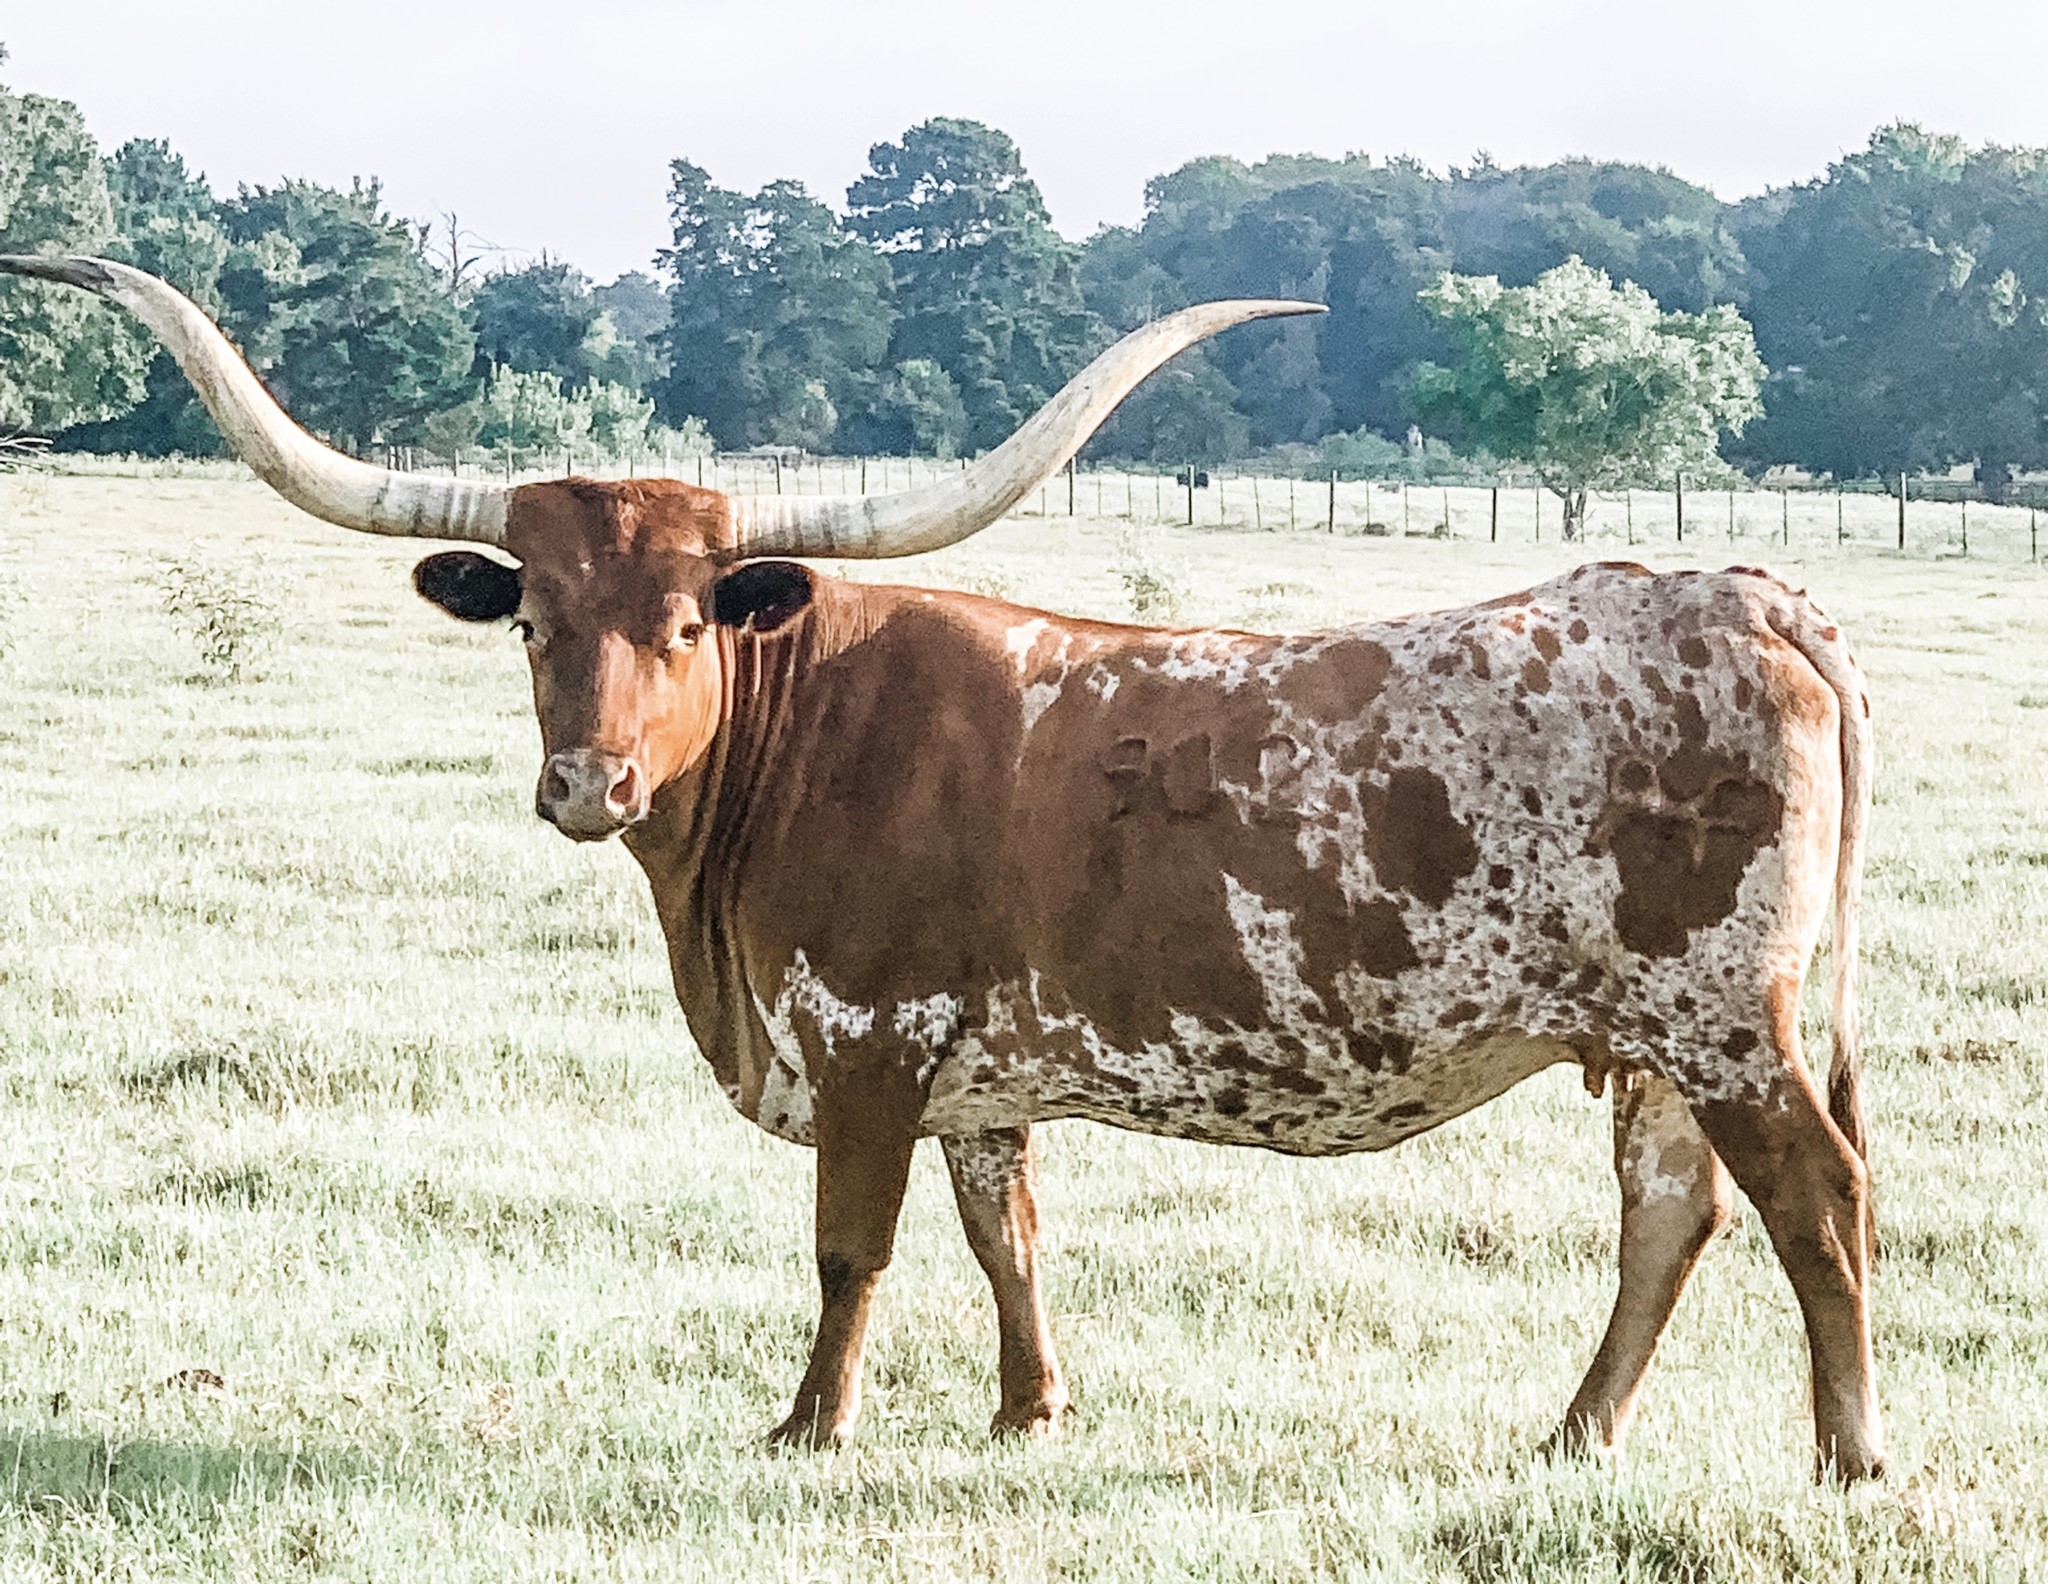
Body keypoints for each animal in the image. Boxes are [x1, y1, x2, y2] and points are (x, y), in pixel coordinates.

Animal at [2, 254, 1883, 1480]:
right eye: (533, 619)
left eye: (687, 621)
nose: (587, 782)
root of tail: (1754, 594)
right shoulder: (977, 1069)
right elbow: (1008, 1232)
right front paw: (1027, 1410)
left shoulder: (866, 1037)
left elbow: (854, 1244)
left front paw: (809, 1425)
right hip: (1659, 1039)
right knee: (1674, 1213)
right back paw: (1573, 1437)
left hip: (1726, 1017)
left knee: (1816, 1199)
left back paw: (1847, 1454)